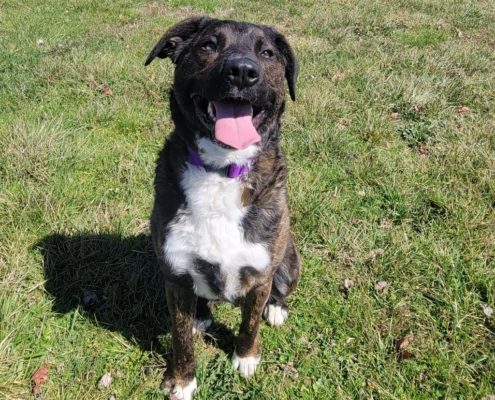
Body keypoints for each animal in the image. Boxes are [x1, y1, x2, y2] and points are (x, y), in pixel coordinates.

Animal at [146, 17, 302, 398]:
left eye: (268, 53)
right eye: (208, 45)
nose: (242, 72)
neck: (221, 169)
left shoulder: (261, 274)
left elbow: (249, 323)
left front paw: (245, 358)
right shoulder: (174, 276)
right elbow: (181, 338)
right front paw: (182, 381)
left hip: (290, 261)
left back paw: (277, 310)